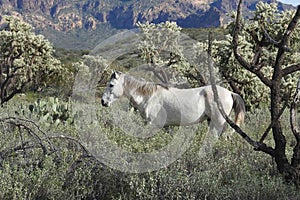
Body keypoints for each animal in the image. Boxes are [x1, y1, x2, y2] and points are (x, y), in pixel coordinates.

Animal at [102, 71, 245, 137]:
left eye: (111, 85)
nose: (103, 101)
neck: (149, 96)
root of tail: (230, 93)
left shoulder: (152, 124)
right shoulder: (165, 126)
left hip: (217, 123)